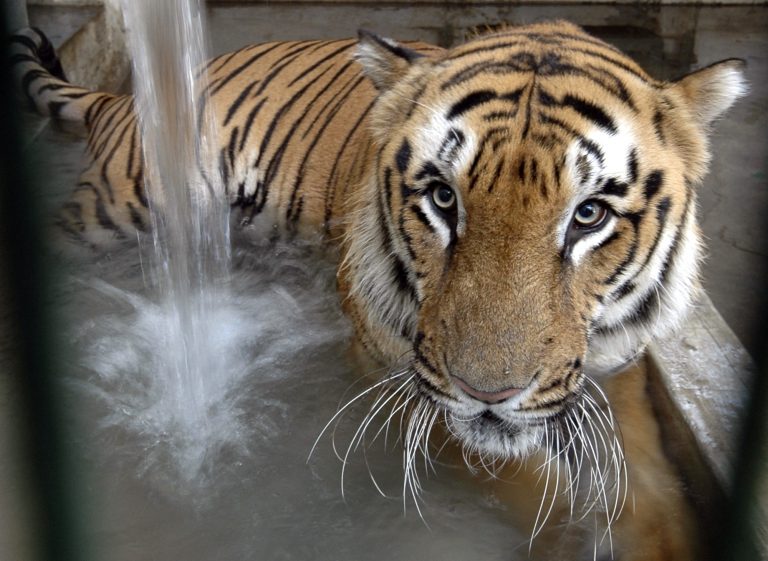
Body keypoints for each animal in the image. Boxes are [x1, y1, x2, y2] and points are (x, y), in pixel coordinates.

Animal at [11, 20, 746, 560]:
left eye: (589, 214)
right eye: (443, 199)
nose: (489, 393)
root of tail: (126, 97)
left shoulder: (618, 365)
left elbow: (646, 476)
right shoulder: (399, 378)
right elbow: (530, 478)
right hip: (110, 213)